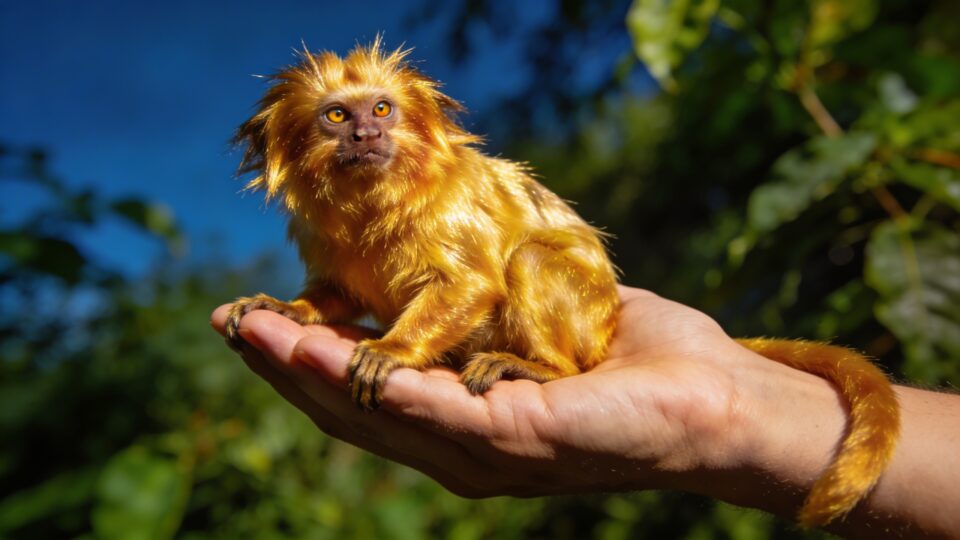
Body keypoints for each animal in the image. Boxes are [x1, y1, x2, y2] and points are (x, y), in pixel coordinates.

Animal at [223, 37, 899, 528]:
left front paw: (391, 348)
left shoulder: (450, 215)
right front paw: (287, 308)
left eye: (382, 108)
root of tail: (607, 328)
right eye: (337, 115)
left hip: (583, 319)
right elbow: (337, 292)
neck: (375, 201)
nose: (367, 134)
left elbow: (472, 284)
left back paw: (539, 368)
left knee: (530, 265)